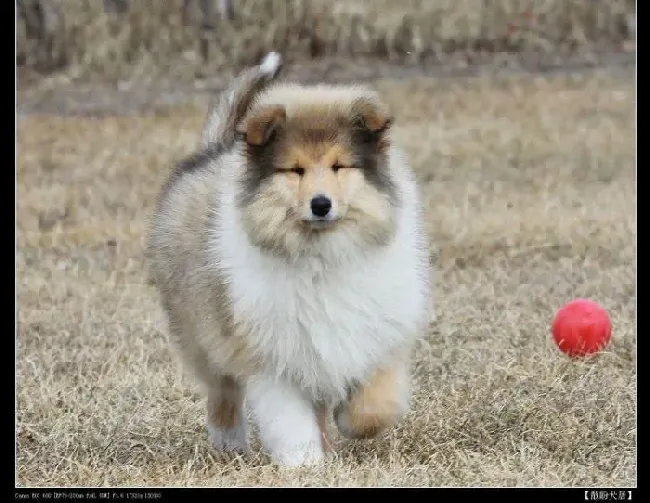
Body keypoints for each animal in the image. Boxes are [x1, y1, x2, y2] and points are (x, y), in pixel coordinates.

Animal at [146, 53, 430, 466]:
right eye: (295, 170)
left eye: (339, 166)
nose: (321, 204)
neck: (321, 255)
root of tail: (213, 150)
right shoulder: (272, 354)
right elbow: (289, 419)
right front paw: (305, 464)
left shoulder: (374, 333)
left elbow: (375, 404)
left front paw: (352, 423)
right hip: (202, 332)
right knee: (222, 392)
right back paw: (230, 445)